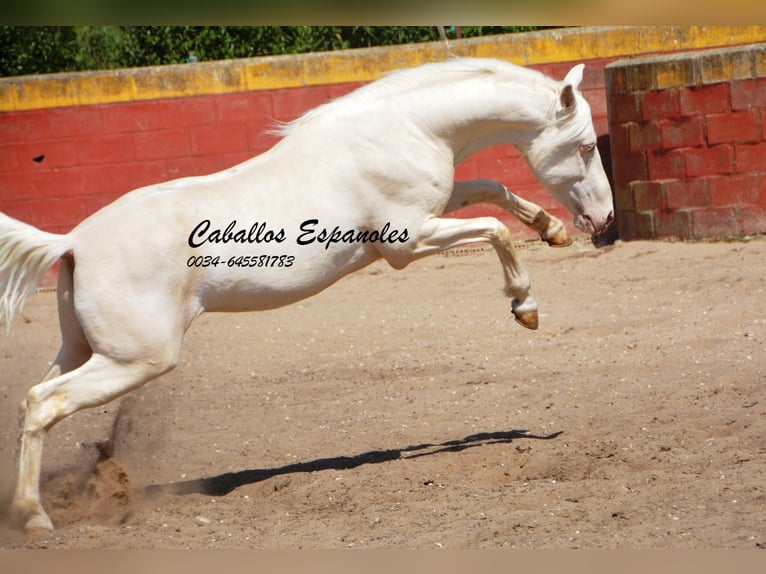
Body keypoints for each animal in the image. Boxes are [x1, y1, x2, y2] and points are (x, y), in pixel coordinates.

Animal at [0, 58, 612, 536]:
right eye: (585, 146)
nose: (602, 219)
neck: (405, 129)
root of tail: (73, 242)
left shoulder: (433, 211)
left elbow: (490, 188)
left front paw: (551, 231)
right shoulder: (408, 242)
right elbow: (494, 226)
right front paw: (524, 306)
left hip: (83, 350)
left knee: (35, 401)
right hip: (137, 359)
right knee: (43, 403)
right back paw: (35, 518)